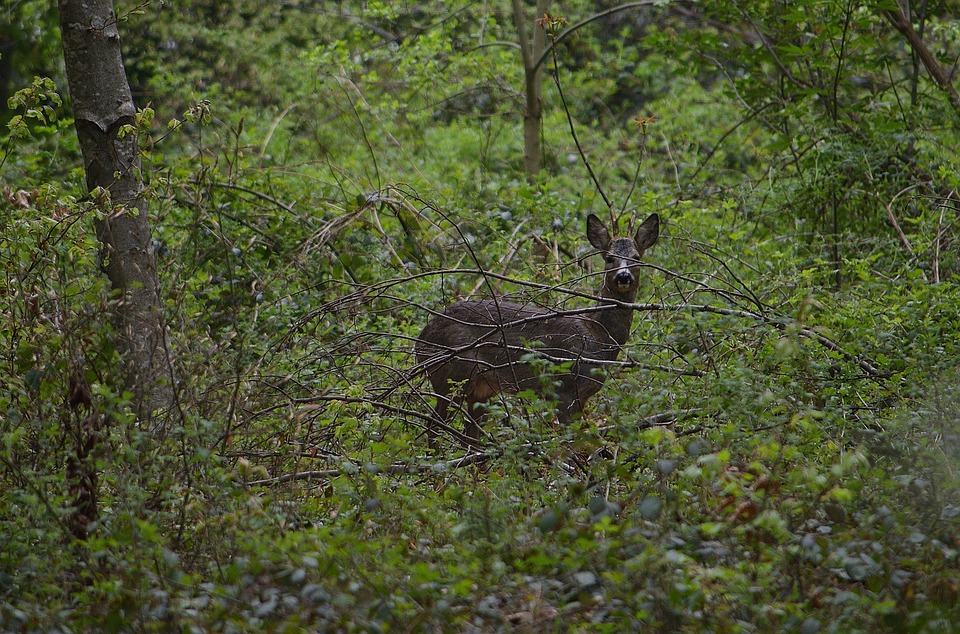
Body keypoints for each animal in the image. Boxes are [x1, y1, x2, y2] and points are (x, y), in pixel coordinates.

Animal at [414, 212, 660, 444]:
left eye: (636, 258)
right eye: (609, 258)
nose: (623, 276)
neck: (598, 334)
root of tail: (421, 339)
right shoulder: (564, 389)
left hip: (480, 389)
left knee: (469, 436)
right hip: (453, 375)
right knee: (433, 427)